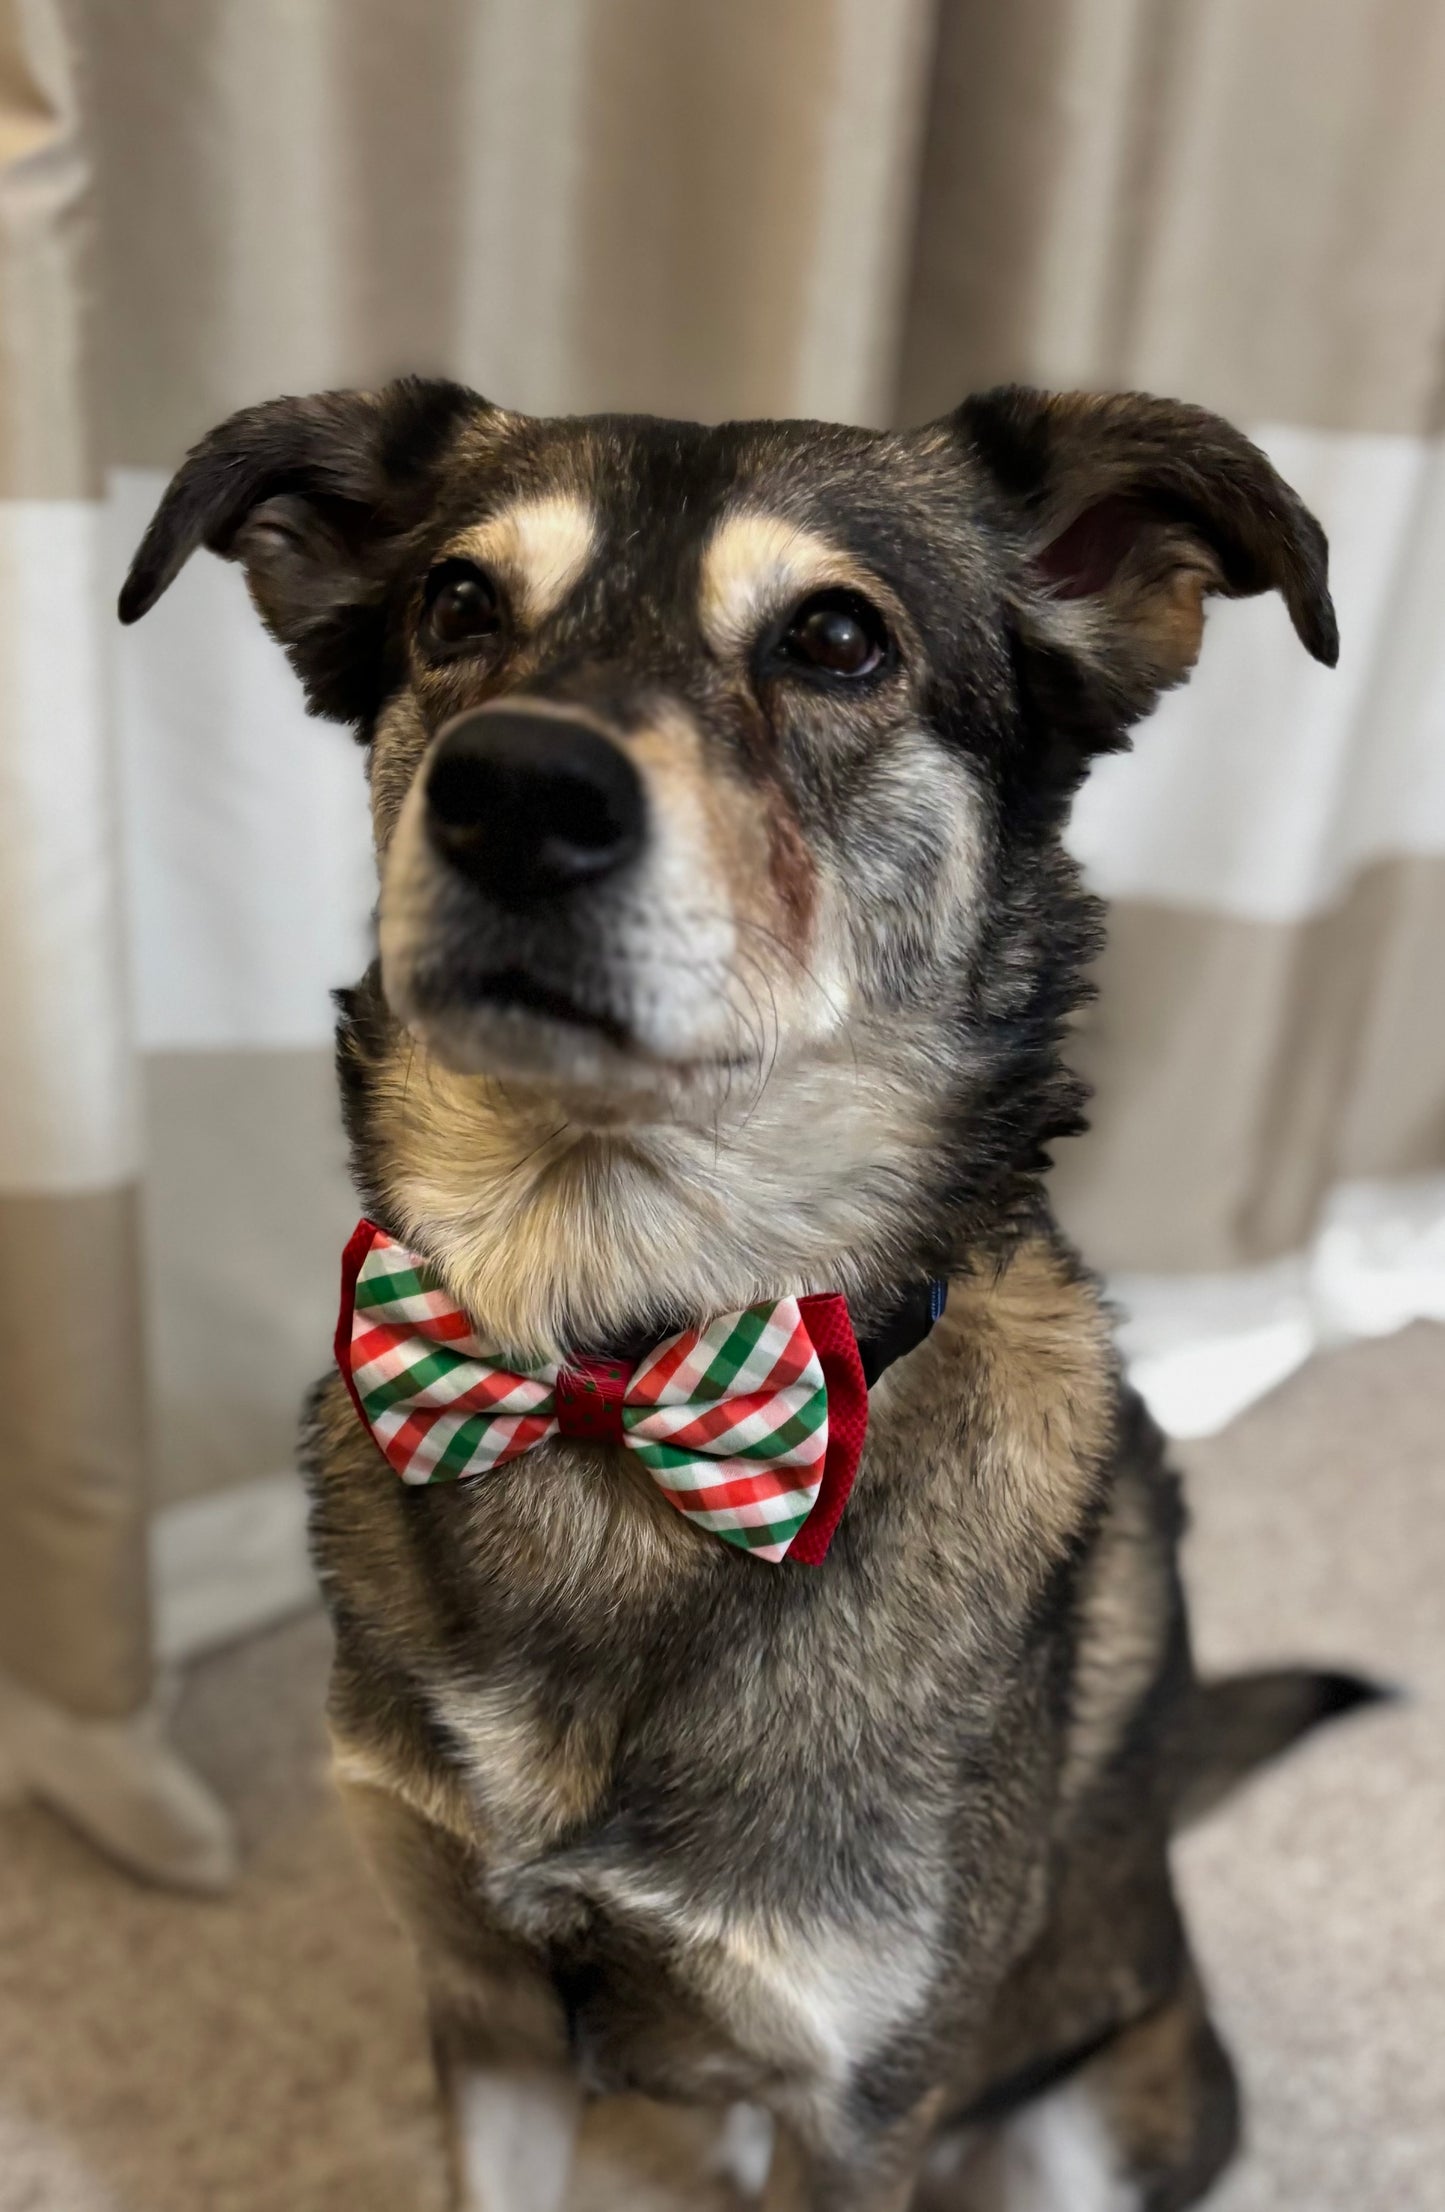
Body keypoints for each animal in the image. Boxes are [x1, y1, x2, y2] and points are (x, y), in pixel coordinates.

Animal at [121, 389, 1371, 2203]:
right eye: (456, 606)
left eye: (837, 637)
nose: (514, 795)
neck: (617, 1364)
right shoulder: (482, 2017)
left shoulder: (858, 2105)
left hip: (1078, 2115)